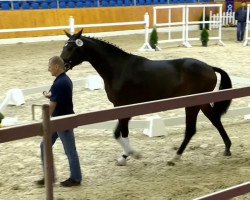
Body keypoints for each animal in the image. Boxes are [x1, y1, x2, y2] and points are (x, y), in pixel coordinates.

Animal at [60, 29, 232, 166]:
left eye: (71, 47)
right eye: (64, 45)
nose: (61, 64)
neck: (118, 68)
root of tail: (210, 68)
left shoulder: (123, 106)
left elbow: (121, 133)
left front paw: (132, 155)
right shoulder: (122, 107)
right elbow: (118, 133)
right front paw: (124, 157)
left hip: (192, 105)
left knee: (191, 129)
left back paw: (175, 158)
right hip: (201, 103)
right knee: (215, 120)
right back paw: (227, 148)